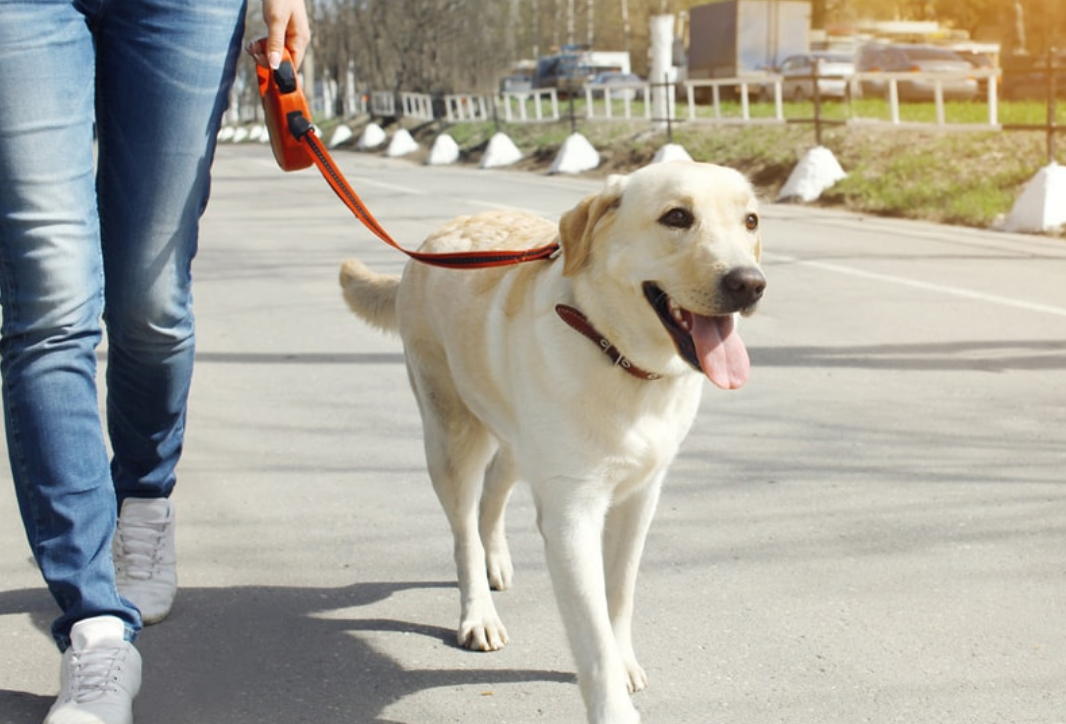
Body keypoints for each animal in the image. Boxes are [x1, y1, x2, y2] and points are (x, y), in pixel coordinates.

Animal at [341, 161, 767, 720]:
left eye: (751, 221)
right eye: (677, 217)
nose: (750, 284)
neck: (616, 354)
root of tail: (434, 241)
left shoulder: (640, 498)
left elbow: (619, 594)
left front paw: (624, 659)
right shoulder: (571, 515)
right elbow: (592, 633)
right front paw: (612, 705)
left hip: (518, 439)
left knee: (494, 493)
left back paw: (496, 558)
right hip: (452, 437)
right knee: (463, 532)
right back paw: (479, 612)